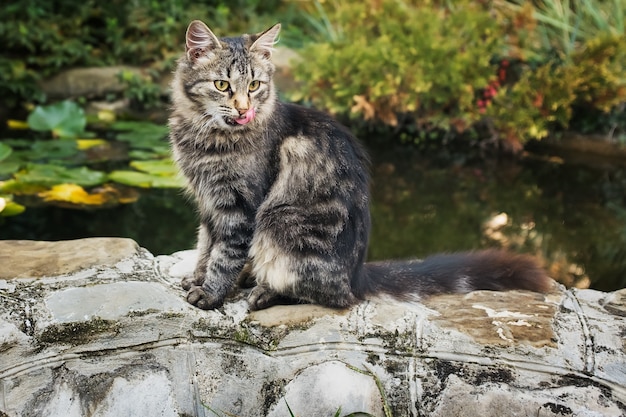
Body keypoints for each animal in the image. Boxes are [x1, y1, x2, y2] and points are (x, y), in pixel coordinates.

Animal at [167, 21, 552, 310]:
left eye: (255, 86)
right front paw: (197, 277)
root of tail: (357, 276)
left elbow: (225, 255)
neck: (204, 136)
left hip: (278, 225)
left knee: (324, 295)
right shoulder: (208, 203)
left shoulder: (240, 207)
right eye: (222, 85)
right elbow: (205, 246)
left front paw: (211, 293)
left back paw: (262, 291)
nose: (244, 110)